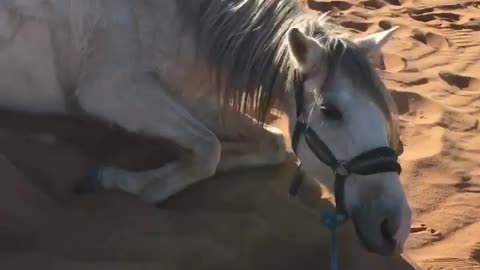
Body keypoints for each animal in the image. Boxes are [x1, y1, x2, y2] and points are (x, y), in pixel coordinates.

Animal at [0, 0, 412, 258]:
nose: (395, 226)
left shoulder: (191, 95)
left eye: (386, 113)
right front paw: (127, 184)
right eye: (330, 111)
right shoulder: (111, 91)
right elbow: (206, 149)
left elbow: (267, 144)